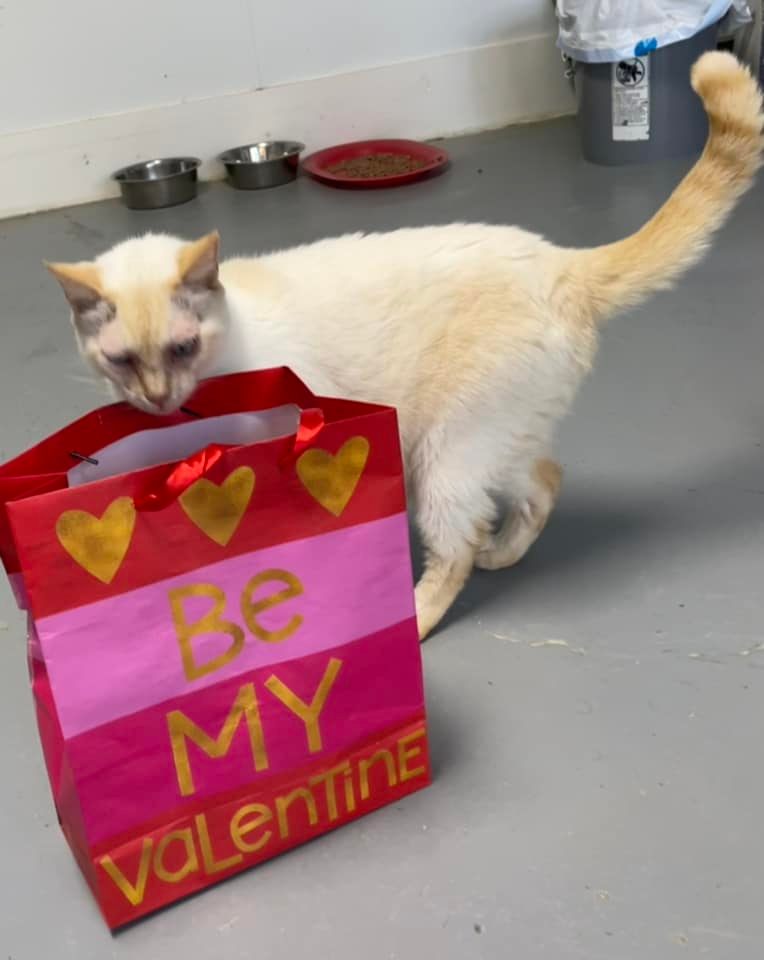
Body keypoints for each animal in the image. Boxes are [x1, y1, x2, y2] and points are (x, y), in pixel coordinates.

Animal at [47, 50, 764, 636]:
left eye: (181, 350)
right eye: (121, 361)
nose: (158, 398)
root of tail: (561, 261)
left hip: (443, 457)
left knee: (460, 543)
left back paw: (414, 619)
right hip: (488, 442)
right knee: (542, 482)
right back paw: (505, 553)